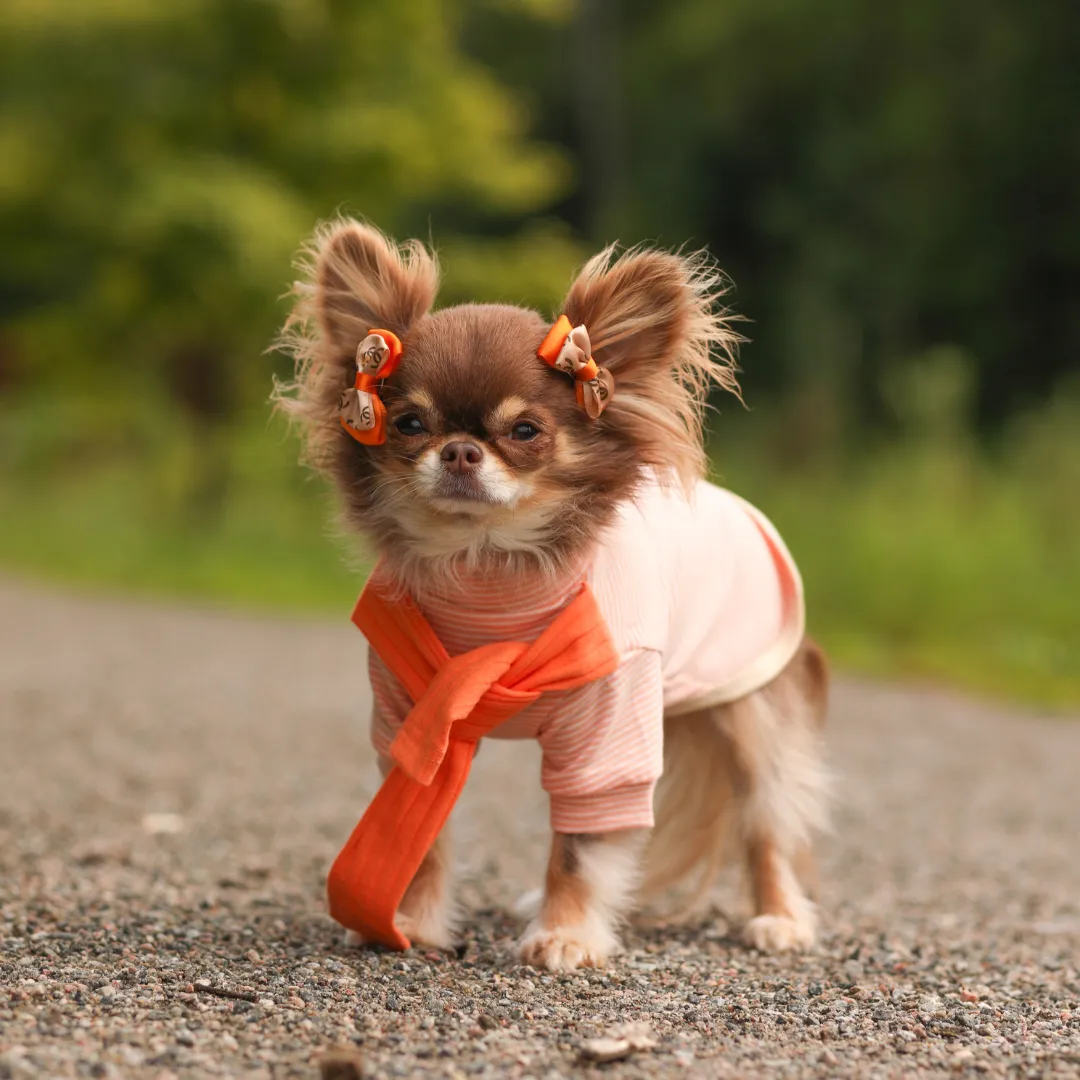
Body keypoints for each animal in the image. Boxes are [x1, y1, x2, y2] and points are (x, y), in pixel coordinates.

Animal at [274, 219, 829, 972]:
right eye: (410, 424)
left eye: (525, 431)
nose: (460, 451)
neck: (487, 573)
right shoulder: (414, 714)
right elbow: (422, 838)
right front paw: (412, 922)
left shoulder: (607, 736)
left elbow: (579, 848)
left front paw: (566, 934)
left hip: (749, 714)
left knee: (766, 819)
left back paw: (778, 918)